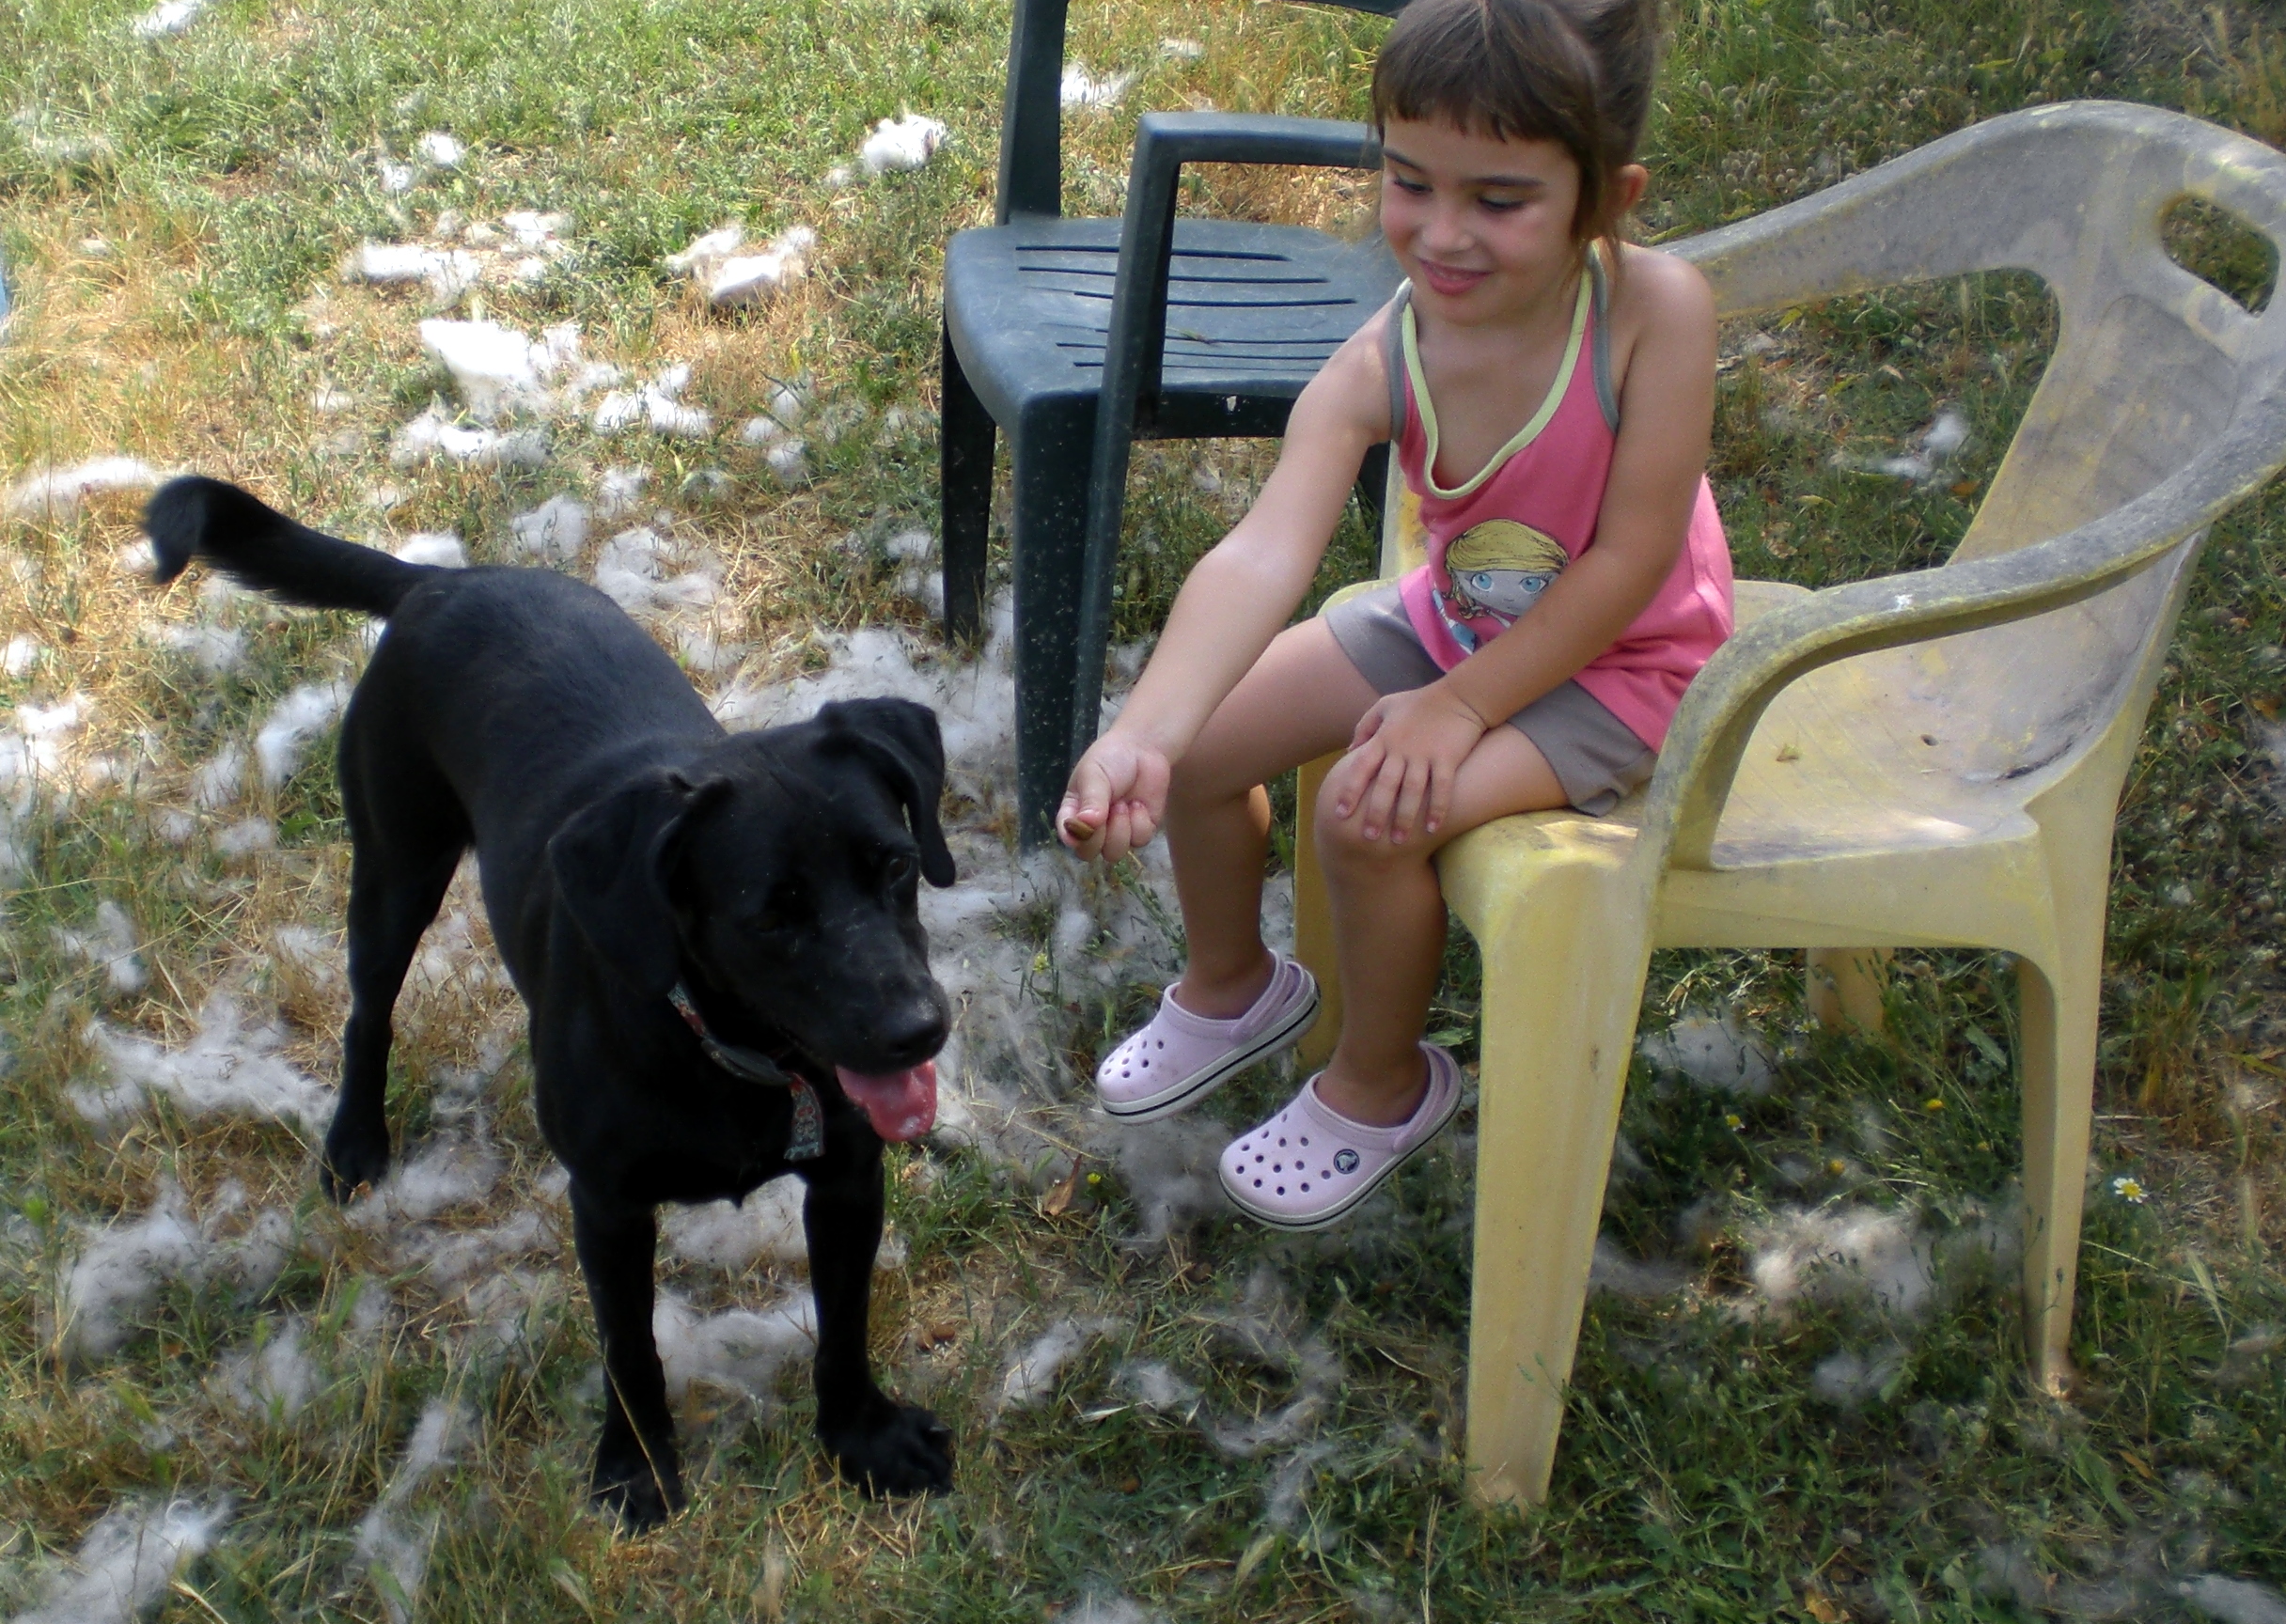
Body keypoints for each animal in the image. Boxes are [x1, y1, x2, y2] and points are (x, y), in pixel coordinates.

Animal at [144, 476, 957, 1527]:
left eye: (894, 865)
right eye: (771, 916)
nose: (918, 1032)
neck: (718, 1048)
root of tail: (441, 584)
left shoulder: (849, 1177)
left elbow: (845, 1323)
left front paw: (863, 1439)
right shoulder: (607, 1205)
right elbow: (631, 1352)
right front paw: (636, 1470)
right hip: (395, 862)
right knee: (370, 1012)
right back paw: (356, 1142)